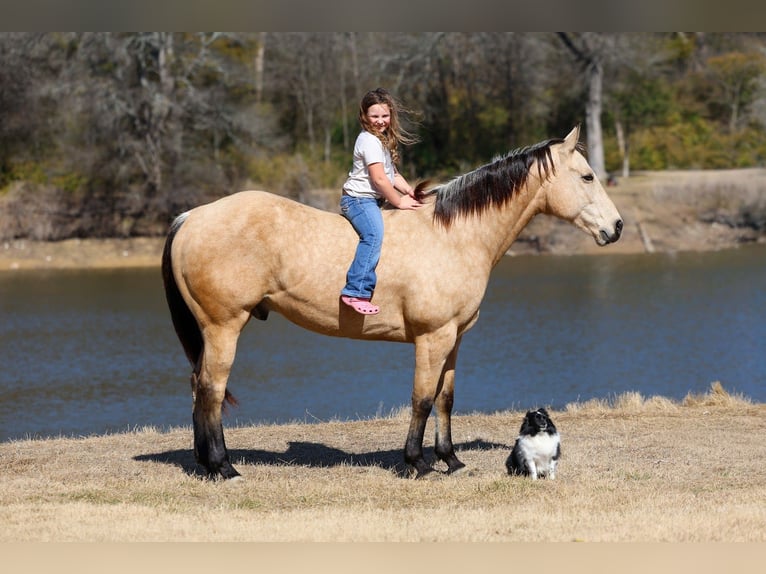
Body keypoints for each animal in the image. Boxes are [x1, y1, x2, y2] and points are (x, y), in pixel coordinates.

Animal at [161, 126, 623, 479]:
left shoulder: (454, 339)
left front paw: (451, 460)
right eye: (587, 176)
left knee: (198, 388)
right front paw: (416, 462)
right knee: (211, 390)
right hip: (224, 326)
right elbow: (421, 398)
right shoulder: (432, 338)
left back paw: (205, 464)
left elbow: (445, 399)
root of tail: (192, 216)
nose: (616, 227)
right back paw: (223, 467)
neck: (453, 235)